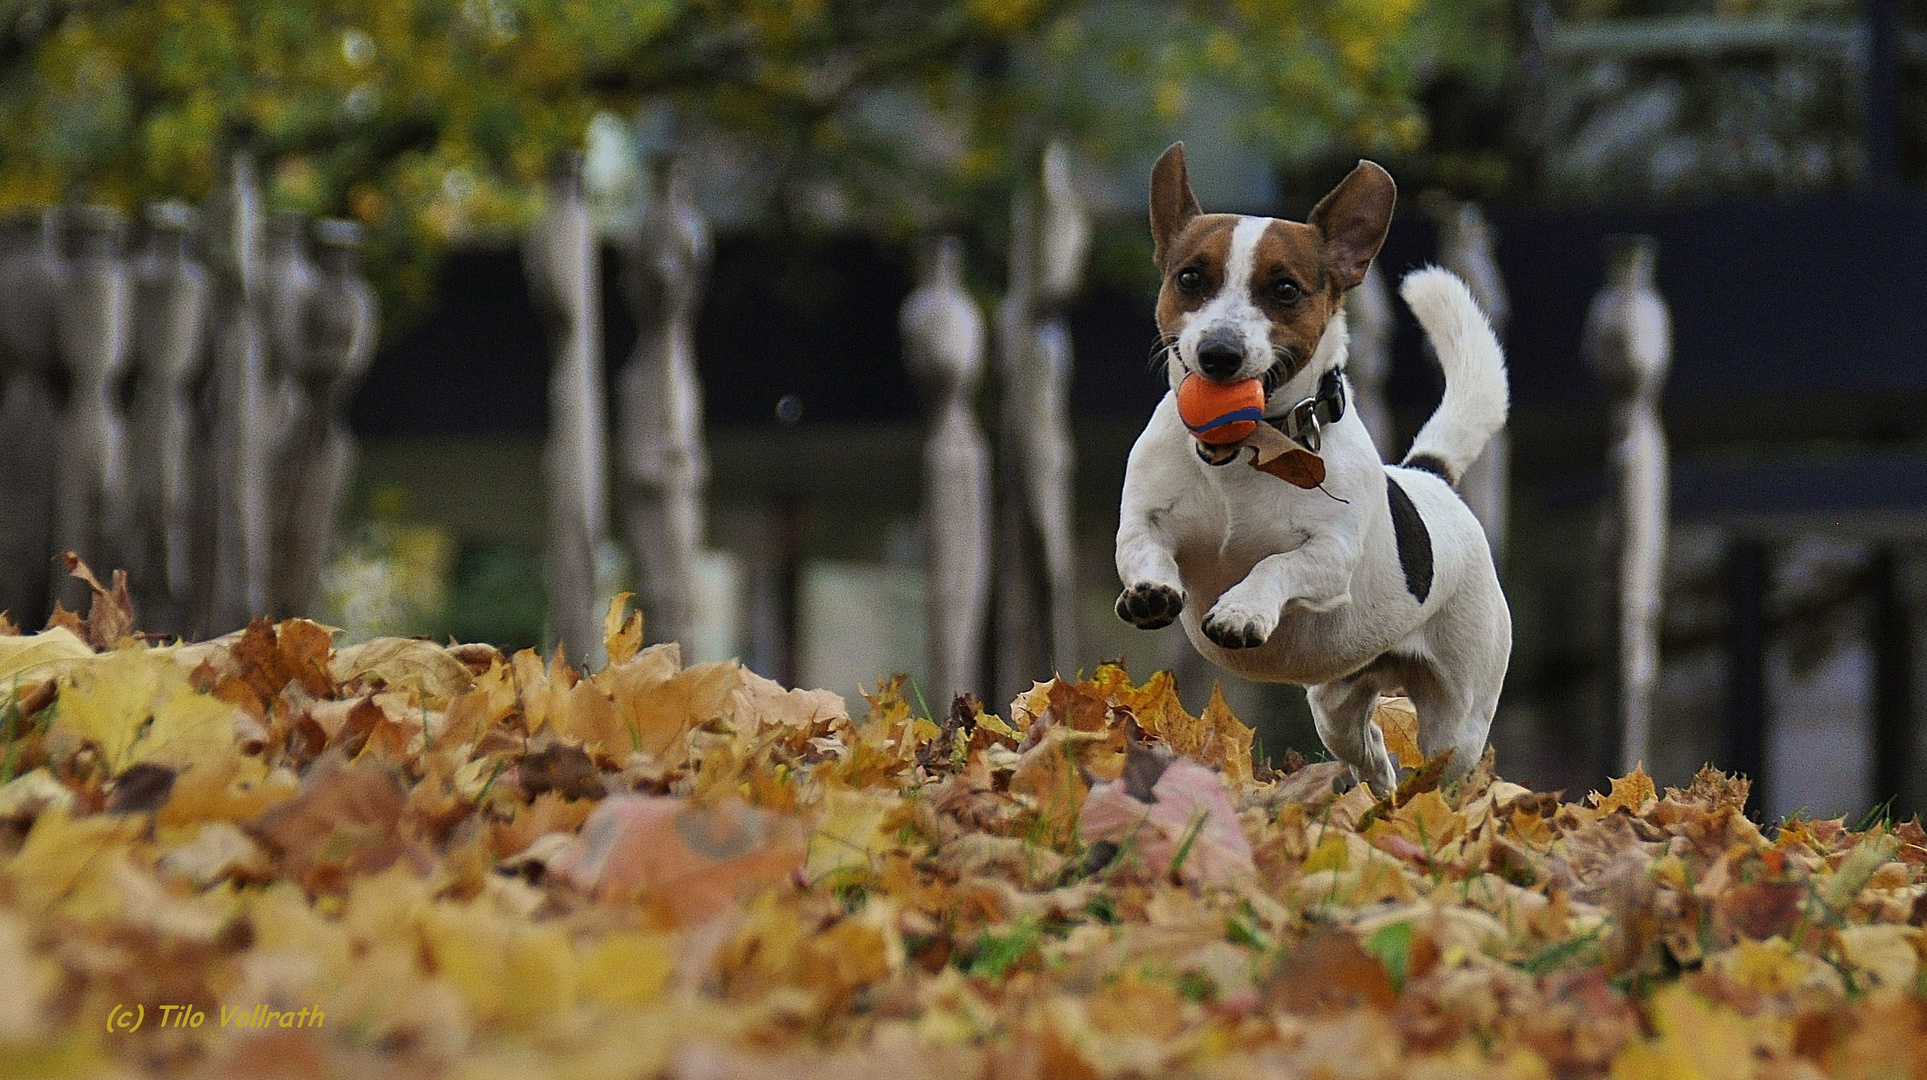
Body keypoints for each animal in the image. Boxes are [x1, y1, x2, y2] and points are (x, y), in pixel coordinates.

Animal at [1109, 143, 1510, 794]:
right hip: (1337, 706)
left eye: (1285, 290)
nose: (1219, 353)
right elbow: (1144, 549)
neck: (1249, 450)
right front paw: (1150, 591)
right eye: (1189, 278)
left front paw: (1243, 610)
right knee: (1372, 752)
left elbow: (1275, 565)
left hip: (1458, 721)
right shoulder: (1143, 522)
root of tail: (1429, 477)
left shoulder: (1328, 557)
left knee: (1440, 767)